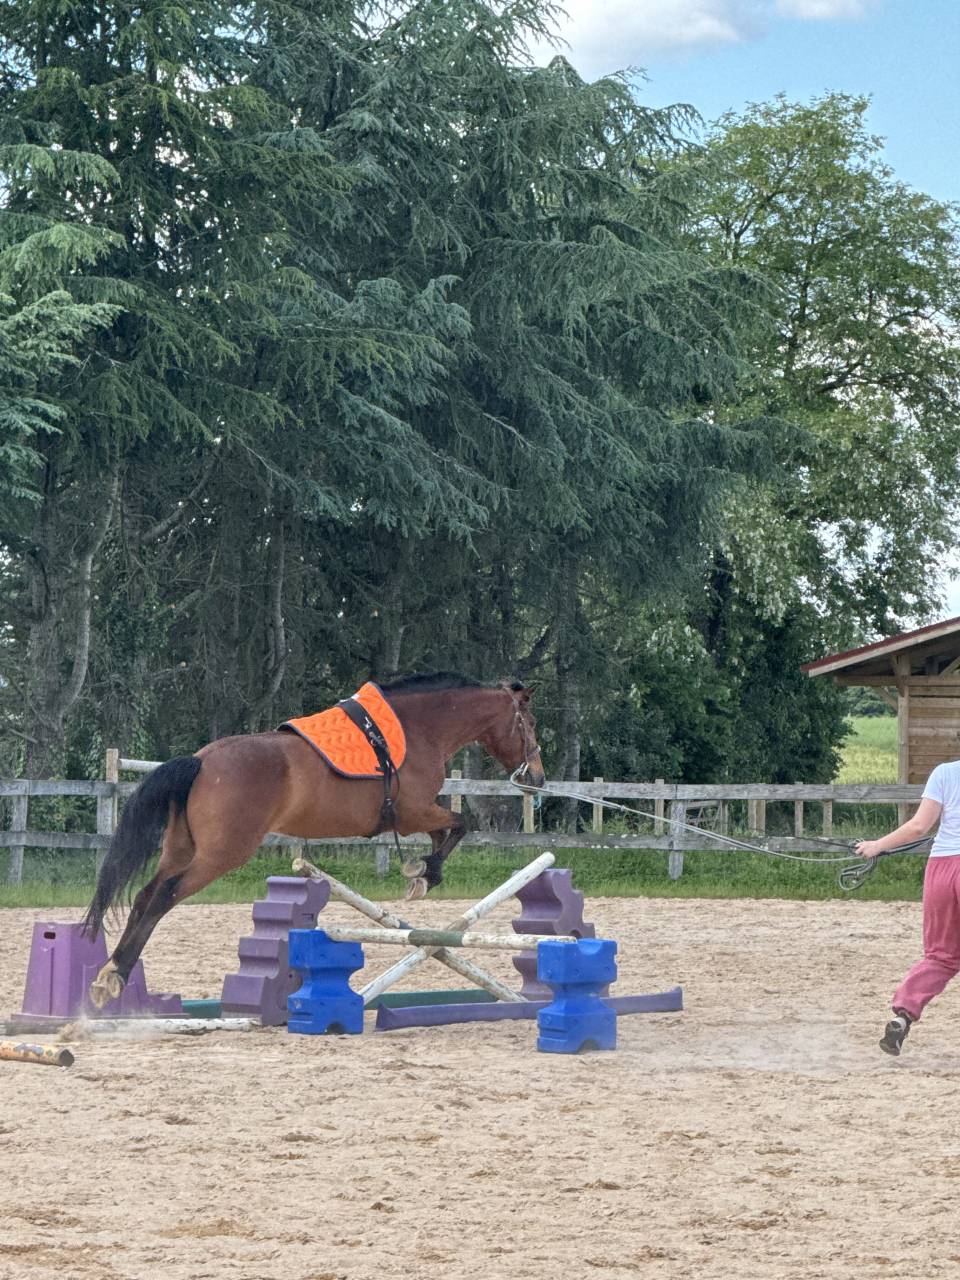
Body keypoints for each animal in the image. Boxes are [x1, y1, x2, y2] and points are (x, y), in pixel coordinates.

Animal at [81, 673, 545, 1009]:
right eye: (530, 724)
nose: (538, 779)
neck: (418, 730)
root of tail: (200, 760)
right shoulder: (415, 809)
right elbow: (460, 824)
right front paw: (424, 875)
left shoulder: (417, 814)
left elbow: (445, 833)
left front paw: (421, 871)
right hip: (220, 855)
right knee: (164, 896)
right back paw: (115, 974)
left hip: (181, 849)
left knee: (145, 895)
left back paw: (110, 976)